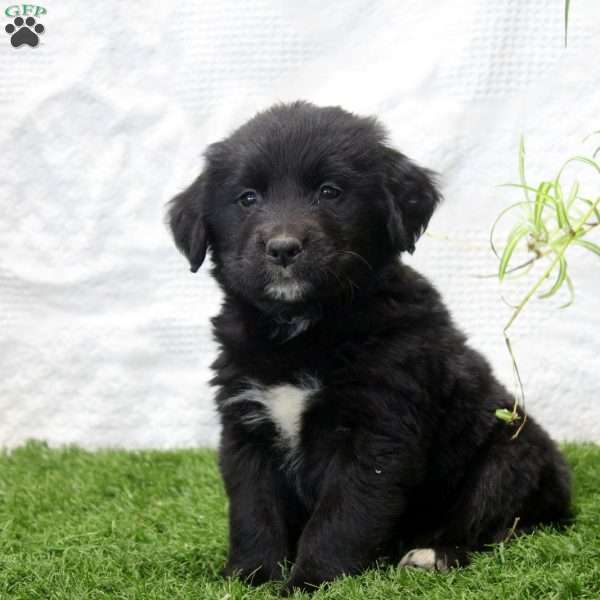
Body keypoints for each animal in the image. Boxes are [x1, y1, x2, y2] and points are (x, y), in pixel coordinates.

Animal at [169, 101, 572, 592]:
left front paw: (310, 582)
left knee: (488, 524)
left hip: (510, 455)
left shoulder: (377, 430)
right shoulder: (248, 425)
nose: (283, 248)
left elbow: (341, 517)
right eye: (247, 198)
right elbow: (253, 511)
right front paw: (252, 577)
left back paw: (432, 555)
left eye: (330, 191)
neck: (304, 330)